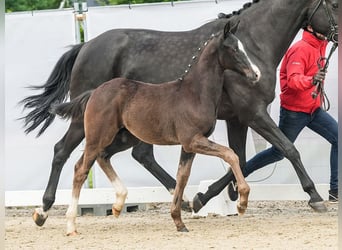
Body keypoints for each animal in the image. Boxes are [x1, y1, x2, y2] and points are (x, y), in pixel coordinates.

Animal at [20, 0, 336, 227]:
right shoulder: (253, 113)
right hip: (87, 122)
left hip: (129, 130)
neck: (256, 41)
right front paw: (315, 197)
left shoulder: (236, 119)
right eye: (333, 4)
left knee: (138, 155)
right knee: (63, 151)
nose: (338, 35)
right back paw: (43, 209)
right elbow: (287, 148)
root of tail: (85, 45)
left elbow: (242, 158)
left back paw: (180, 200)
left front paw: (213, 196)